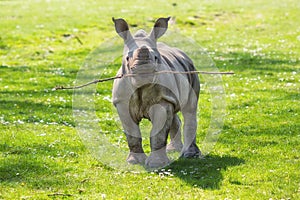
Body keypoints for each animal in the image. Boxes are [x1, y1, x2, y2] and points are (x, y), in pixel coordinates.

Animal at [111, 16, 200, 168]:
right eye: (127, 58)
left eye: (156, 58)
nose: (144, 71)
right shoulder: (122, 102)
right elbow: (132, 133)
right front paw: (134, 162)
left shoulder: (162, 100)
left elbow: (158, 133)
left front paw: (156, 164)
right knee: (174, 110)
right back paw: (173, 150)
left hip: (191, 70)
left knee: (190, 109)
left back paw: (190, 155)